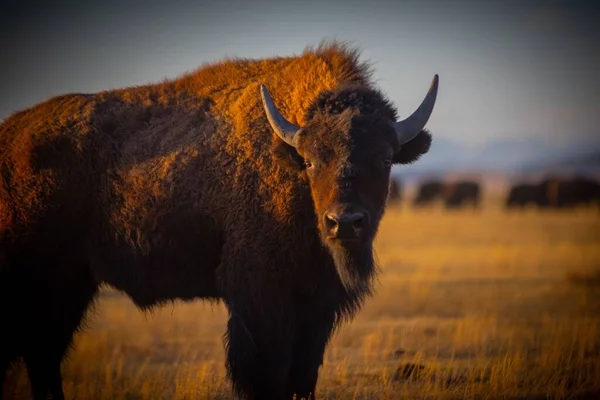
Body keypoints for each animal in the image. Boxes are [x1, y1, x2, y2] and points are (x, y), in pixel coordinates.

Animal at [0, 41, 440, 400]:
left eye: (385, 159)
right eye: (312, 161)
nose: (344, 222)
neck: (288, 161)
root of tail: (9, 140)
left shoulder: (317, 307)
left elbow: (302, 376)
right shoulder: (261, 301)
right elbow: (269, 376)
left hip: (71, 285)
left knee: (43, 355)